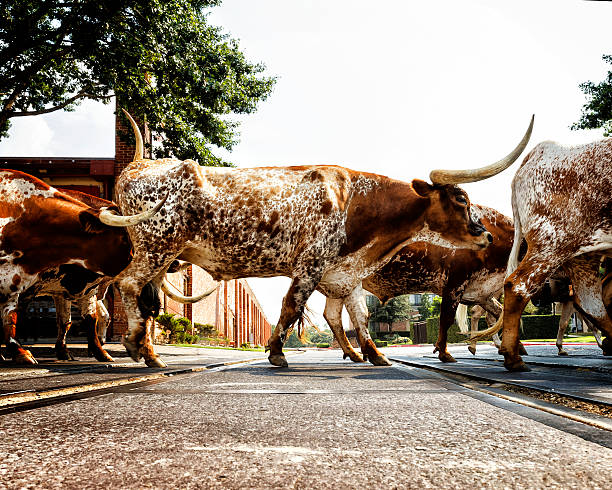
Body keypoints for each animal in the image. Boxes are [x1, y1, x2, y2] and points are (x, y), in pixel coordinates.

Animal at [0, 168, 165, 364]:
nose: (154, 303)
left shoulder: (70, 288)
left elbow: (81, 319)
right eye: (126, 238)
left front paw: (95, 351)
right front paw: (20, 352)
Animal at [113, 111, 532, 366]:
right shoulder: (310, 264)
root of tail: (138, 166)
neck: (354, 202)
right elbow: (291, 306)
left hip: (163, 256)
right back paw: (134, 345)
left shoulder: (344, 274)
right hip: (156, 247)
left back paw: (150, 353)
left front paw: (375, 354)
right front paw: (276, 353)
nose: (485, 234)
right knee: (127, 284)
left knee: (146, 298)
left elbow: (358, 317)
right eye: (461, 199)